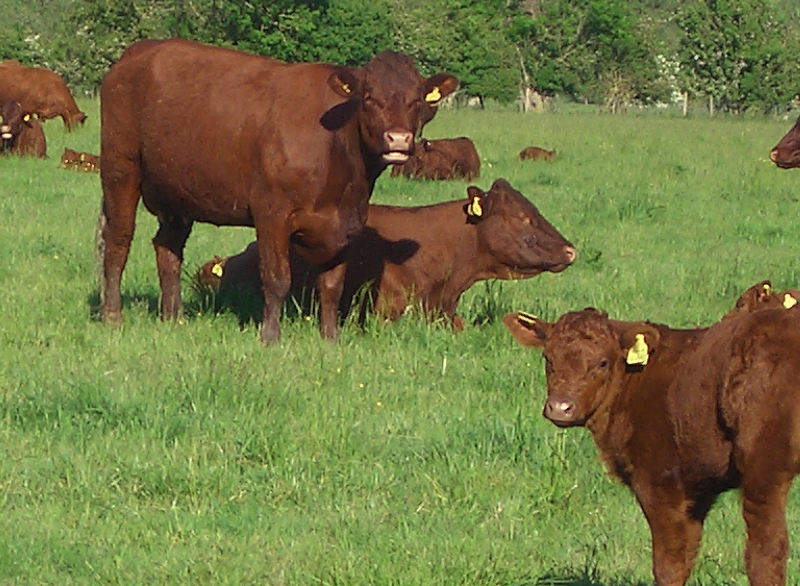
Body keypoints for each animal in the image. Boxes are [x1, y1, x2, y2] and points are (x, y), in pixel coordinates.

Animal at [99, 38, 458, 343]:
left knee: (168, 249)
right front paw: (270, 337)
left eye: (416, 100)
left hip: (177, 193)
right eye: (369, 98)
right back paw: (113, 316)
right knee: (117, 242)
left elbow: (332, 285)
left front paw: (330, 339)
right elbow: (277, 277)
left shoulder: (346, 223)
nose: (398, 139)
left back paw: (174, 317)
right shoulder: (271, 213)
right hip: (120, 169)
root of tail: (140, 50)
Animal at [503, 284, 800, 586]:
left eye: (602, 363)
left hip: (763, 468)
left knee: (766, 552)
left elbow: (669, 563)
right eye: (547, 358)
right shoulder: (697, 487)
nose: (560, 407)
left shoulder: (659, 482)